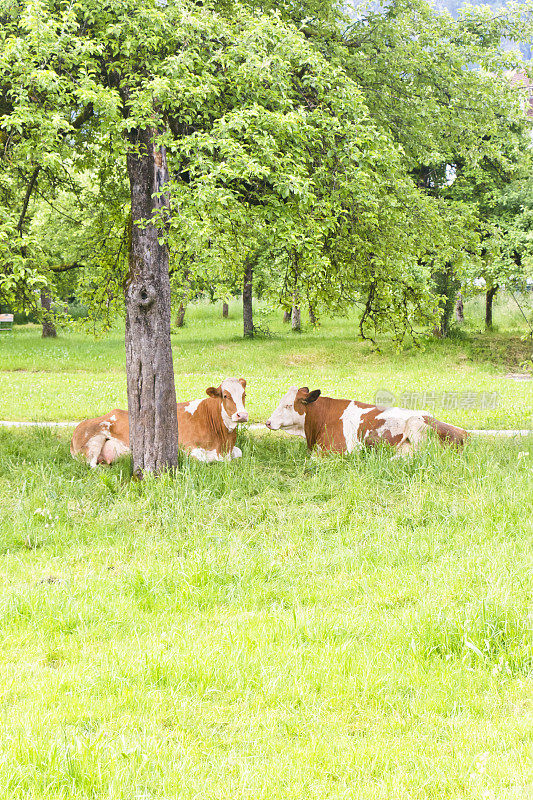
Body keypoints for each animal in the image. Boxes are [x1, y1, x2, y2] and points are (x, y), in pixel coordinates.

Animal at [69, 378, 249, 466]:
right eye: (225, 395)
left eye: (244, 395)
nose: (242, 415)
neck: (223, 442)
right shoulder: (186, 448)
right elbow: (207, 459)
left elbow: (239, 453)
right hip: (94, 440)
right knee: (92, 465)